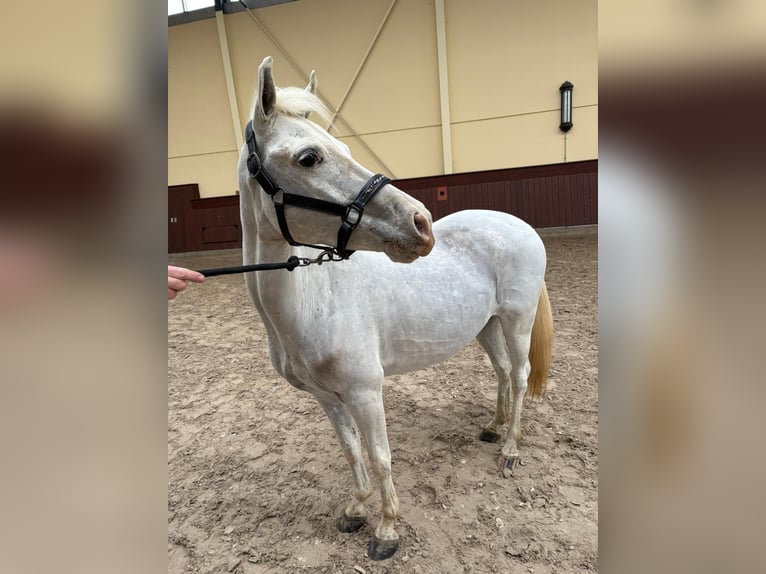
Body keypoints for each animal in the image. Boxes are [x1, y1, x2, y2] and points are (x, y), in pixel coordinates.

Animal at [238, 56, 553, 560]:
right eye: (309, 157)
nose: (420, 223)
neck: (315, 302)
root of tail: (518, 225)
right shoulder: (328, 398)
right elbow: (352, 452)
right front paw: (354, 510)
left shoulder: (366, 393)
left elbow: (381, 457)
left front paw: (386, 530)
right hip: (486, 325)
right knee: (503, 371)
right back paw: (493, 427)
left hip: (517, 321)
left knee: (521, 376)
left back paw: (509, 450)